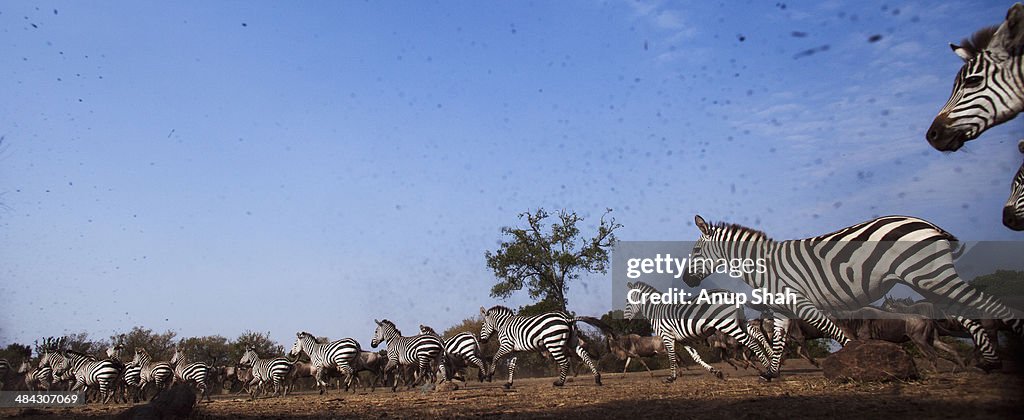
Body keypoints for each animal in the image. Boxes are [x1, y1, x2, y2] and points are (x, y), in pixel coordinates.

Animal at [622, 282, 770, 381]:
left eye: (628, 300)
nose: (624, 320)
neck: (657, 311)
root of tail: (729, 293)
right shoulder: (683, 340)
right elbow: (696, 357)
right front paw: (716, 373)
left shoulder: (667, 336)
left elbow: (671, 356)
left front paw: (672, 377)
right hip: (740, 321)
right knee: (758, 334)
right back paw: (772, 361)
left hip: (727, 324)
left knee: (750, 342)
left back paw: (768, 370)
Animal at [679, 215, 1024, 374]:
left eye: (695, 251)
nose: (685, 279)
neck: (765, 264)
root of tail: (926, 223)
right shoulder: (784, 307)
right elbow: (777, 341)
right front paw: (772, 373)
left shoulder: (801, 301)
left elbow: (834, 331)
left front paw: (857, 361)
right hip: (927, 279)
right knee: (969, 314)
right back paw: (988, 362)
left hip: (929, 275)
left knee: (985, 305)